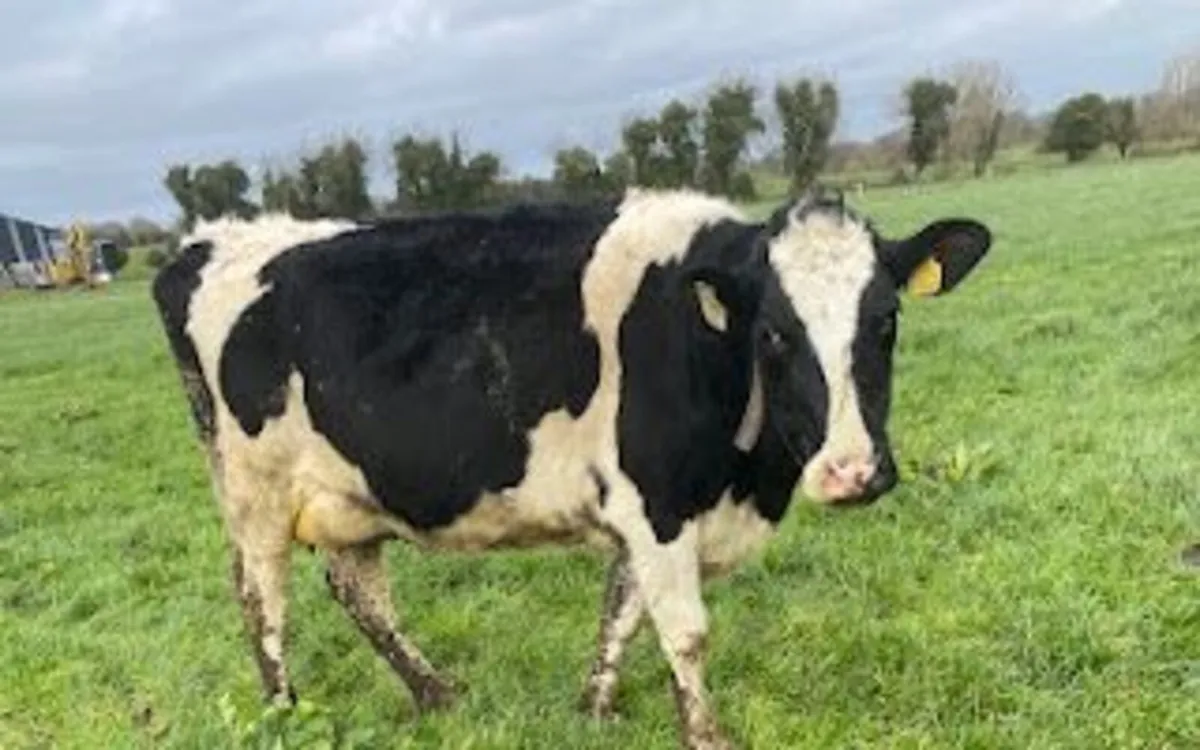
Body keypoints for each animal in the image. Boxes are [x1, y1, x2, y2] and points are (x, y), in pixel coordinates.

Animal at [151, 185, 992, 750]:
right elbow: (684, 630)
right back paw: (284, 711)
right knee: (262, 599)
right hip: (254, 492)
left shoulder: (649, 511)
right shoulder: (657, 502)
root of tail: (209, 241)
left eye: (885, 320)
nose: (853, 472)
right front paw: (705, 734)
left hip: (352, 490)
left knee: (359, 592)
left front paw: (595, 708)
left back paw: (436, 693)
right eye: (775, 333)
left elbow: (622, 609)